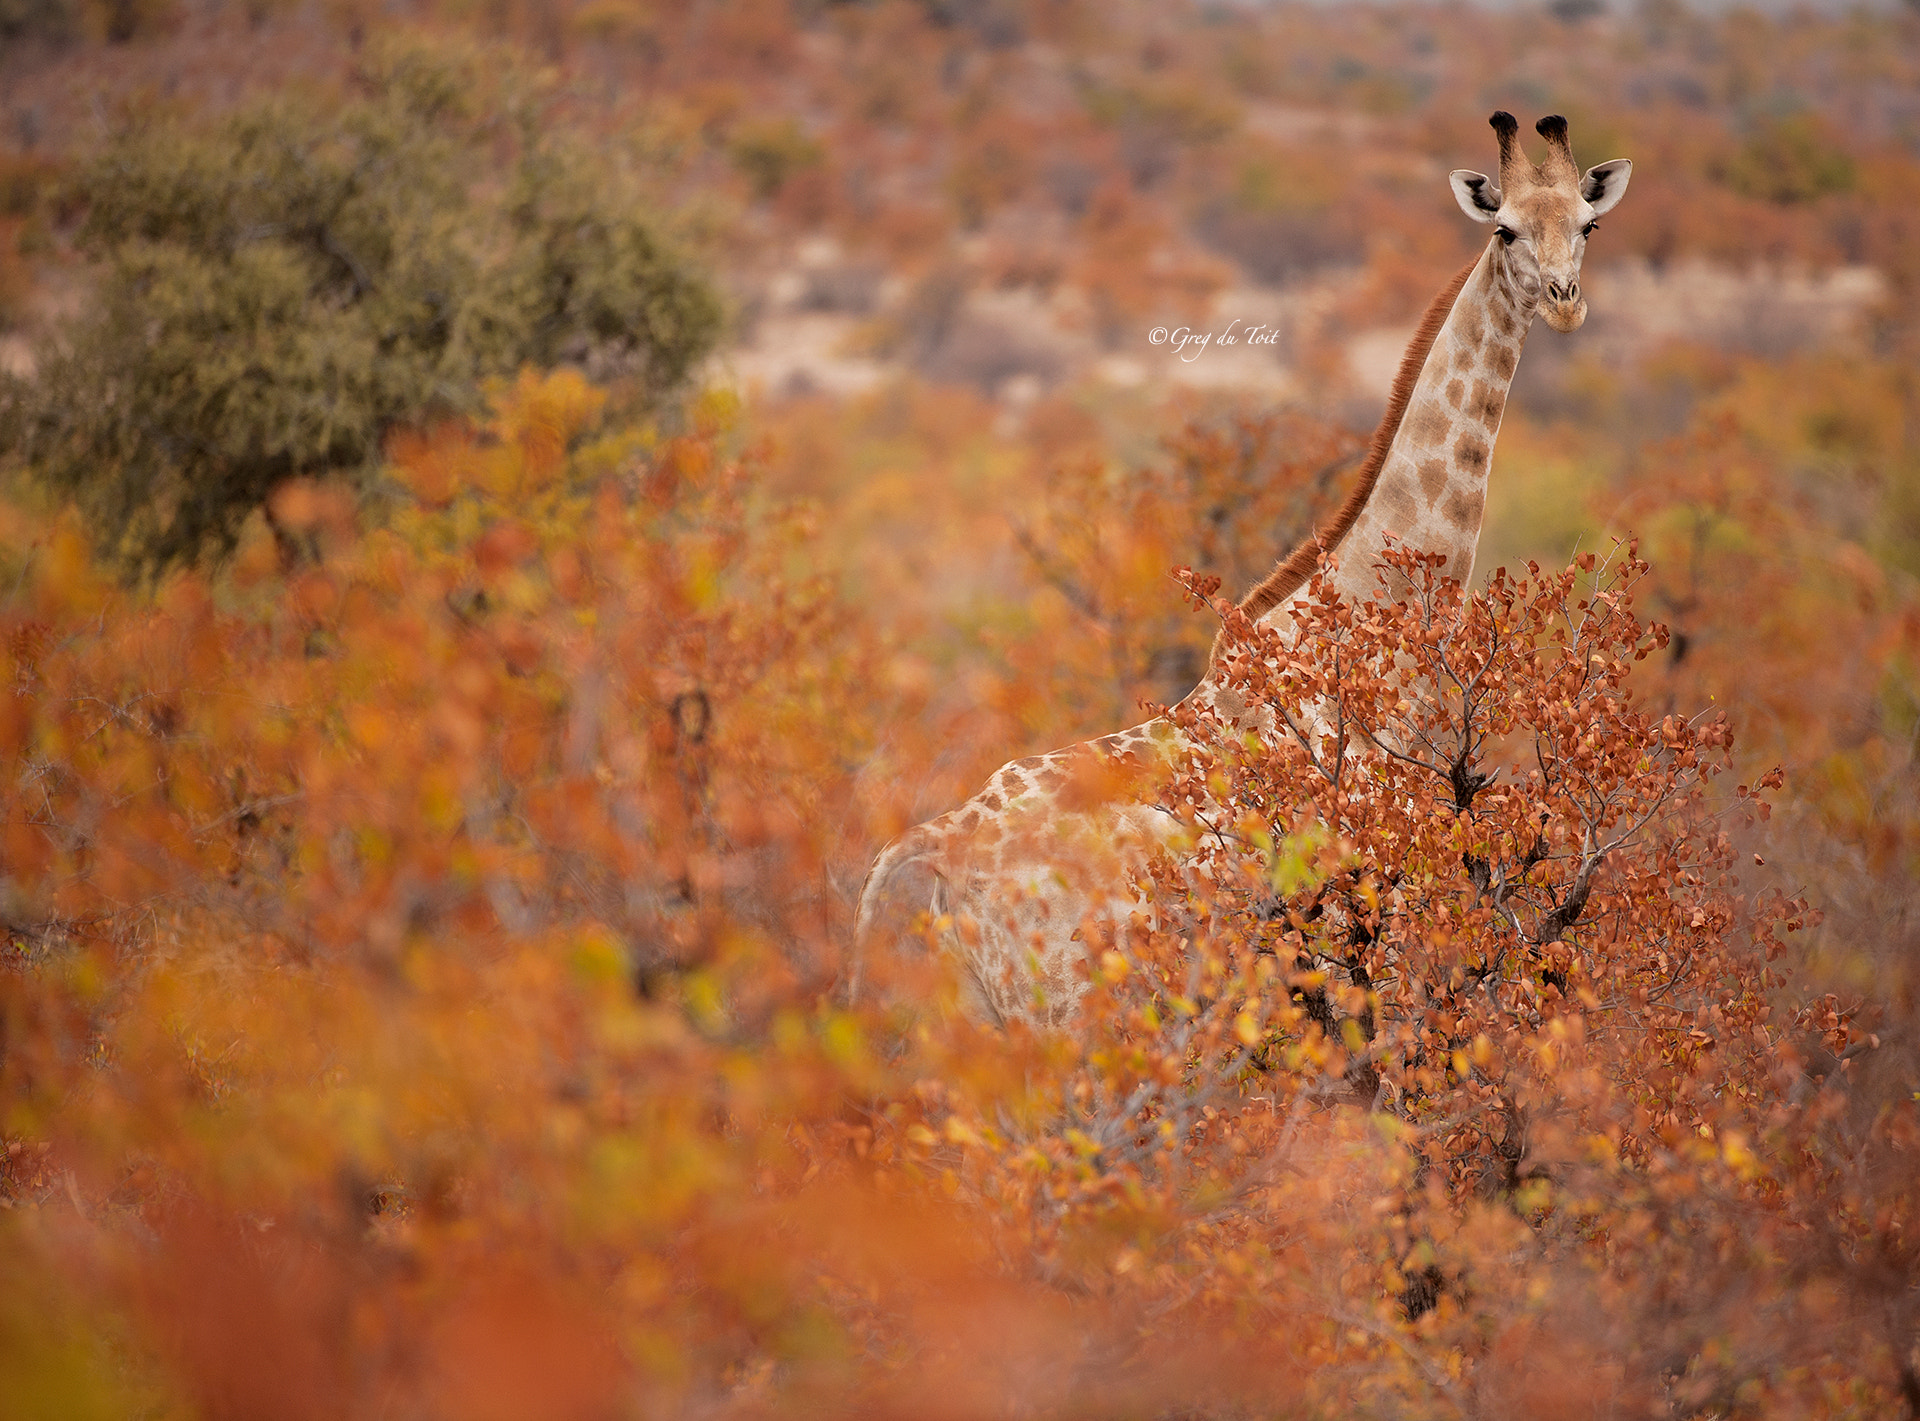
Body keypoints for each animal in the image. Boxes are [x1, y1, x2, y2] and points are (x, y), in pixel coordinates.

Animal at [864, 108, 1628, 1021]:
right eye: (1505, 227)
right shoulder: (1368, 910)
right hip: (1072, 1005)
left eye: (1587, 226)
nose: (1566, 303)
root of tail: (930, 852)